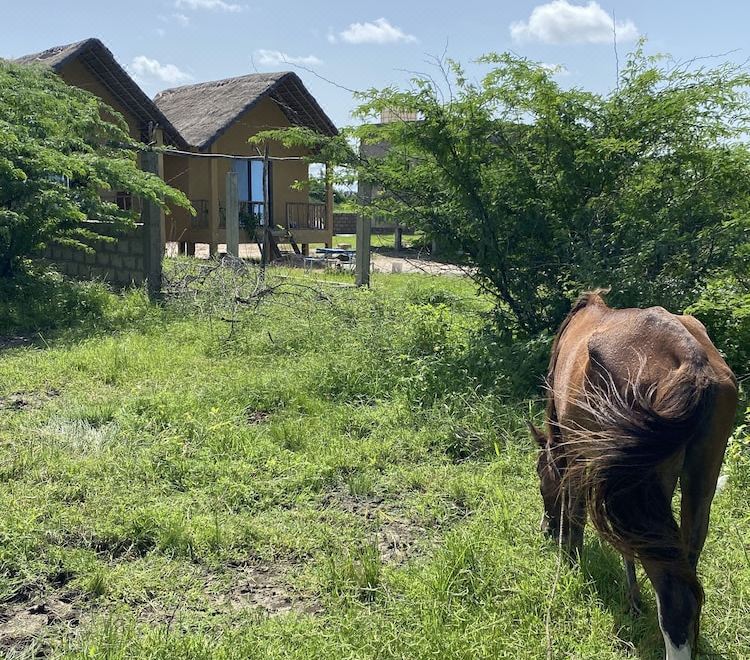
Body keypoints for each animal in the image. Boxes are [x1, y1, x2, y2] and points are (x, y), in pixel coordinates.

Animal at [536, 292, 740, 660]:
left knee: (676, 599)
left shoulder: (578, 455)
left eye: (540, 475)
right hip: (696, 485)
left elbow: (576, 513)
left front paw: (573, 561)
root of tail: (692, 362)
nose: (546, 528)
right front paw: (632, 601)